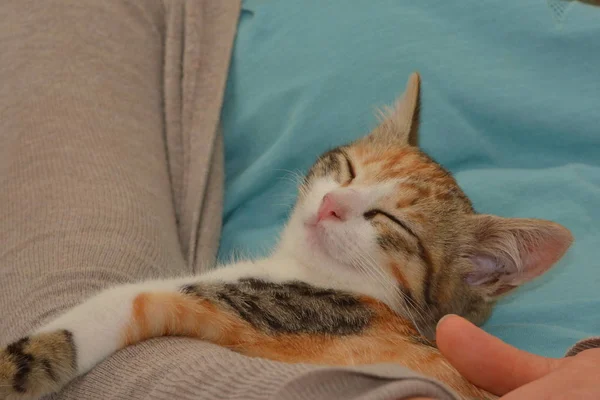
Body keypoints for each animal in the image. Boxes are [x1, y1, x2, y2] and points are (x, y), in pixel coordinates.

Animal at [0, 73, 572, 398]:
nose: (332, 204)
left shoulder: (229, 307)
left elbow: (105, 309)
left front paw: (22, 365)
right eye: (347, 169)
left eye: (392, 222)